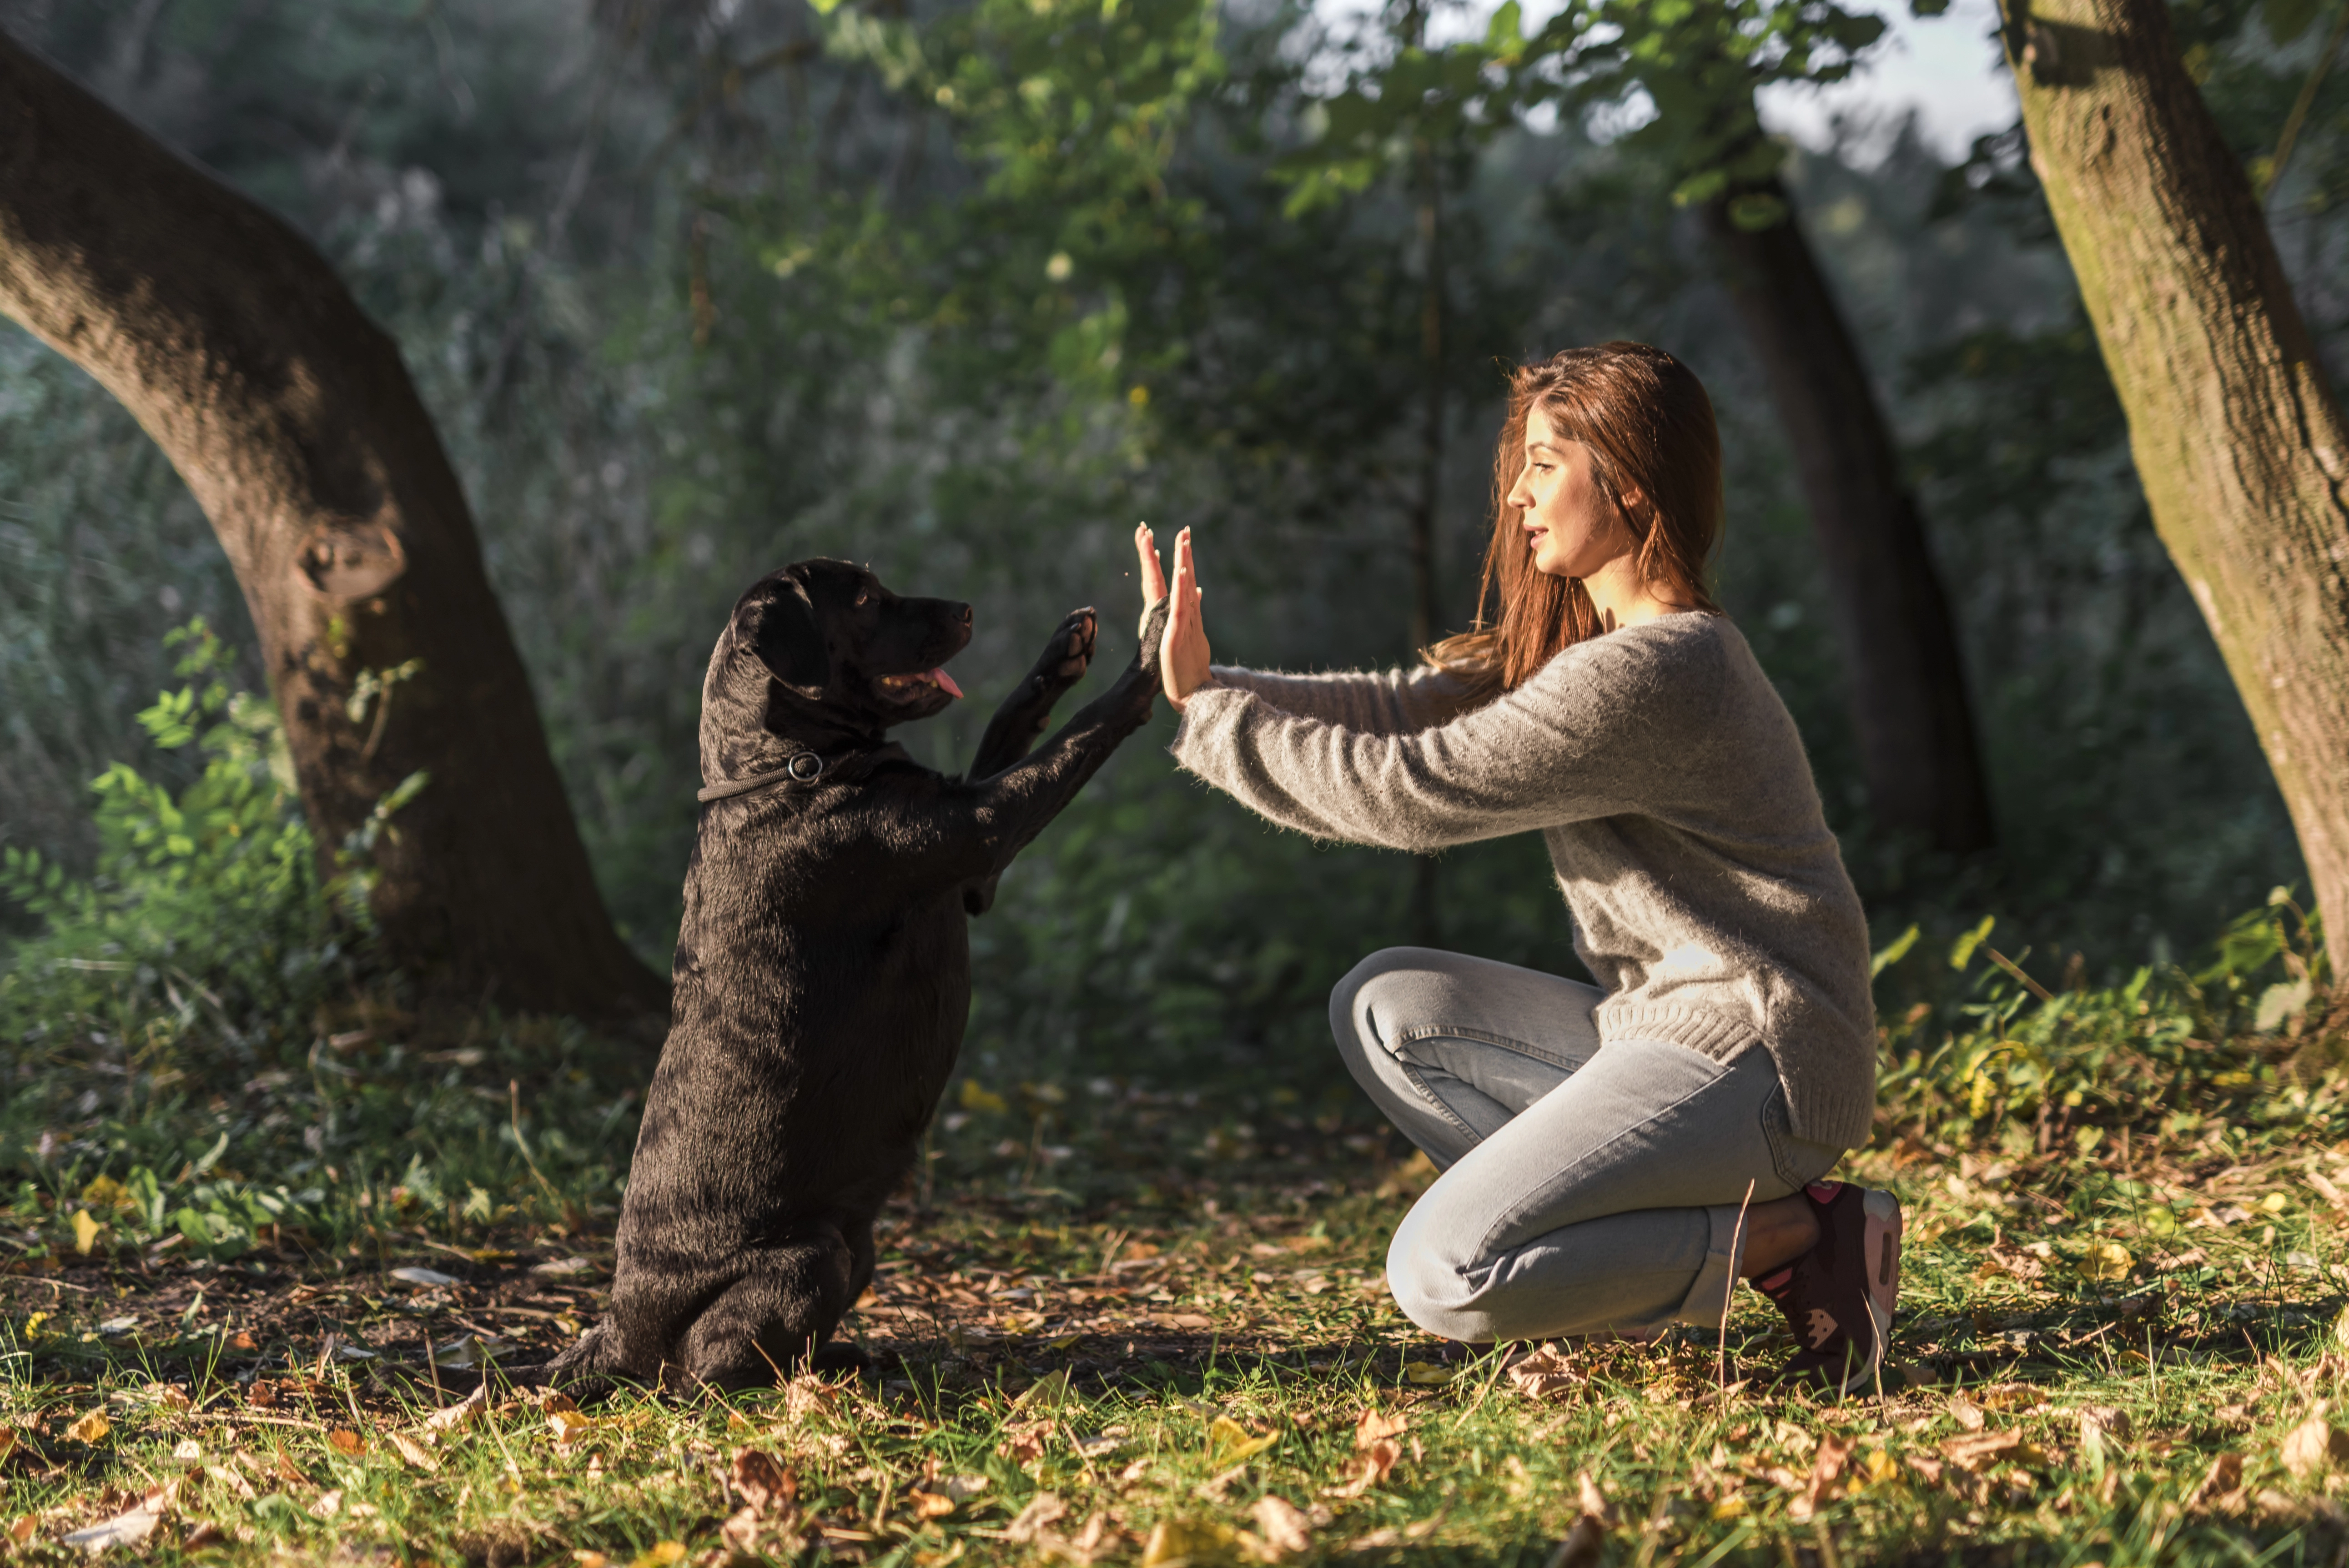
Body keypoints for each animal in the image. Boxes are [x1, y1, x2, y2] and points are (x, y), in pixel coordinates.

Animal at [552, 556, 1174, 1389]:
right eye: (867, 600)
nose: (966, 608)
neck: (788, 768)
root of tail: (617, 1328)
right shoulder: (983, 830)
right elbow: (1079, 737)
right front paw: (1152, 651)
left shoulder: (974, 872)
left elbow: (1006, 729)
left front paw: (1062, 652)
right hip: (810, 1258)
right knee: (704, 1372)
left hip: (859, 1246)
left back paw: (848, 1356)